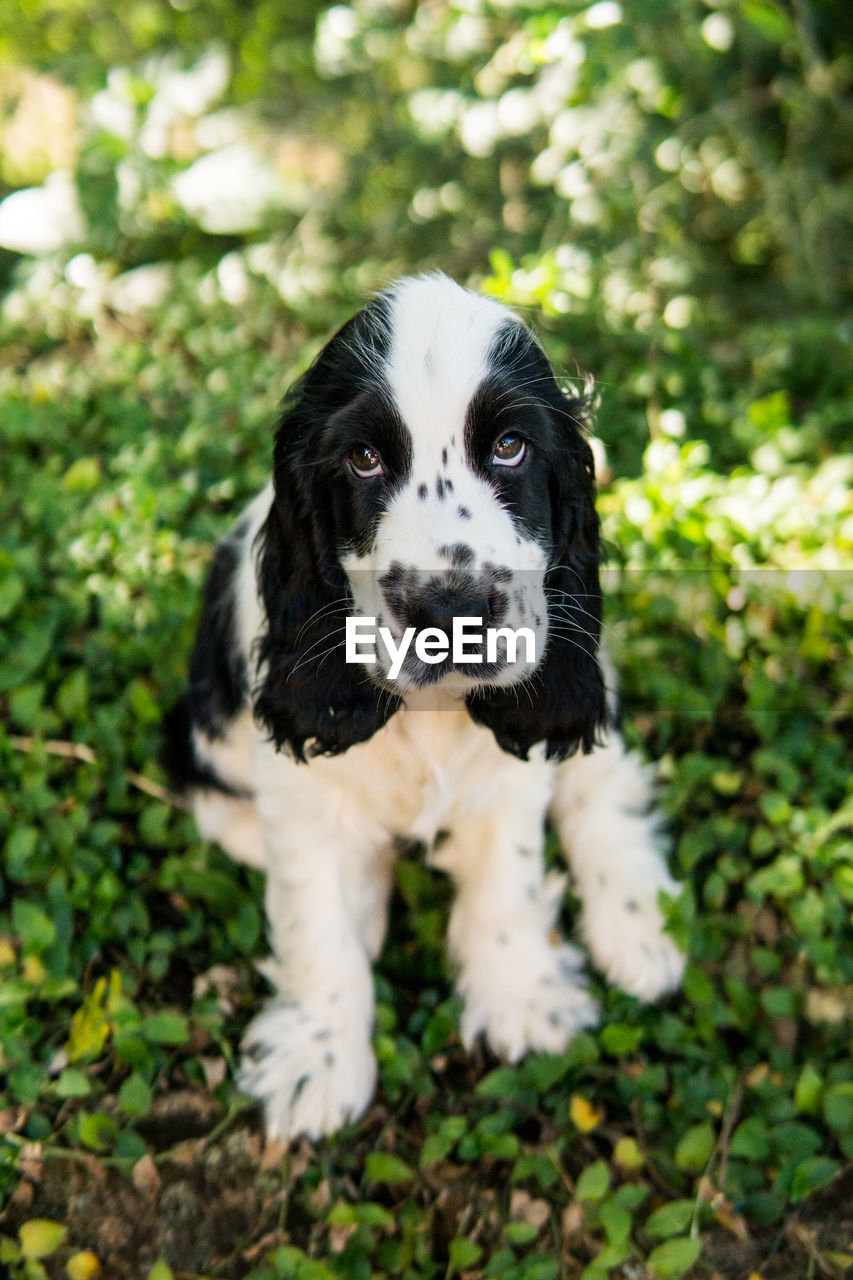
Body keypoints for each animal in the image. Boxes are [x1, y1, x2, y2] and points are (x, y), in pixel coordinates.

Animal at [163, 272, 686, 1141]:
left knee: (600, 782)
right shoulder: (284, 779)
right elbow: (313, 915)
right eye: (363, 458)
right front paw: (318, 1058)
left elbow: (509, 875)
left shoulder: (517, 763)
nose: (450, 611)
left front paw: (520, 994)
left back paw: (639, 924)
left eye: (510, 446)